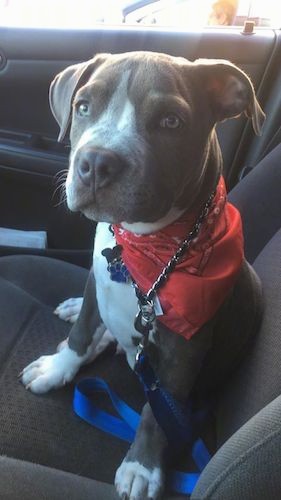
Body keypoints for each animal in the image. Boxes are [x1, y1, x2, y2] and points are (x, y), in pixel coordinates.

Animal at [20, 52, 264, 498]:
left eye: (171, 121)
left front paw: (142, 466)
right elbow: (82, 333)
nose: (95, 163)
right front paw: (58, 367)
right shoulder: (96, 279)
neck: (143, 248)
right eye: (83, 106)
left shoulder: (186, 348)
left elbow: (155, 412)